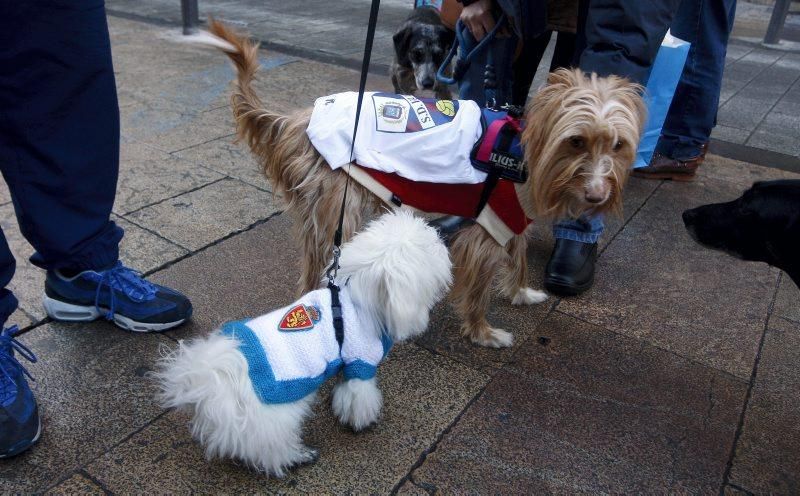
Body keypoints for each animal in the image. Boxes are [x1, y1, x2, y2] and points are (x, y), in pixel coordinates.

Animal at [155, 211, 454, 478]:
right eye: (429, 244)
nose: (441, 230)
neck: (357, 300)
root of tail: (216, 380)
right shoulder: (361, 362)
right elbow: (359, 397)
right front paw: (362, 421)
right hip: (277, 414)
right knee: (270, 451)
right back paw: (299, 456)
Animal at [205, 21, 644, 348]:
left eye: (618, 145)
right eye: (576, 141)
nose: (597, 196)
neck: (520, 153)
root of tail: (300, 120)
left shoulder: (512, 219)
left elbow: (518, 256)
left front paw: (521, 293)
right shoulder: (488, 228)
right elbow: (478, 290)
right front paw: (483, 332)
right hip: (341, 209)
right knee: (321, 268)